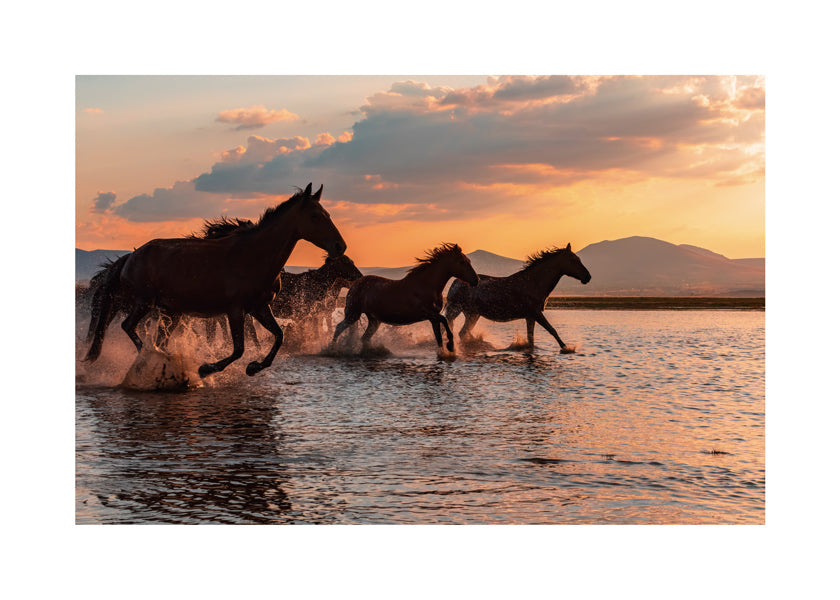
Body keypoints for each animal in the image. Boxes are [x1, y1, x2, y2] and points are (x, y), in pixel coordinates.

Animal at [84, 183, 347, 377]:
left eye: (328, 214)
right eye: (315, 216)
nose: (340, 246)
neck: (254, 256)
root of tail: (130, 257)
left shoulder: (260, 308)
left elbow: (279, 336)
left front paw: (254, 367)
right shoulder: (235, 310)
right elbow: (239, 348)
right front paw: (206, 368)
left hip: (171, 311)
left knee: (158, 337)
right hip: (144, 303)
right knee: (128, 326)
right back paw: (153, 358)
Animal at [331, 243, 479, 354]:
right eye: (462, 262)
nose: (476, 280)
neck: (426, 285)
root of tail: (355, 285)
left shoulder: (433, 318)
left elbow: (439, 337)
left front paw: (445, 352)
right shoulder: (428, 313)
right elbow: (445, 320)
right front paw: (451, 346)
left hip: (374, 320)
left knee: (364, 338)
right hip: (353, 314)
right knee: (338, 328)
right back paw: (331, 349)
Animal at [444, 243, 591, 352]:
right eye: (574, 260)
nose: (588, 277)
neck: (534, 282)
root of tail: (455, 282)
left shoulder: (530, 316)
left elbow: (531, 339)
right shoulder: (536, 313)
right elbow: (552, 330)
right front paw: (567, 348)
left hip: (472, 314)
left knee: (462, 332)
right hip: (458, 310)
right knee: (457, 331)